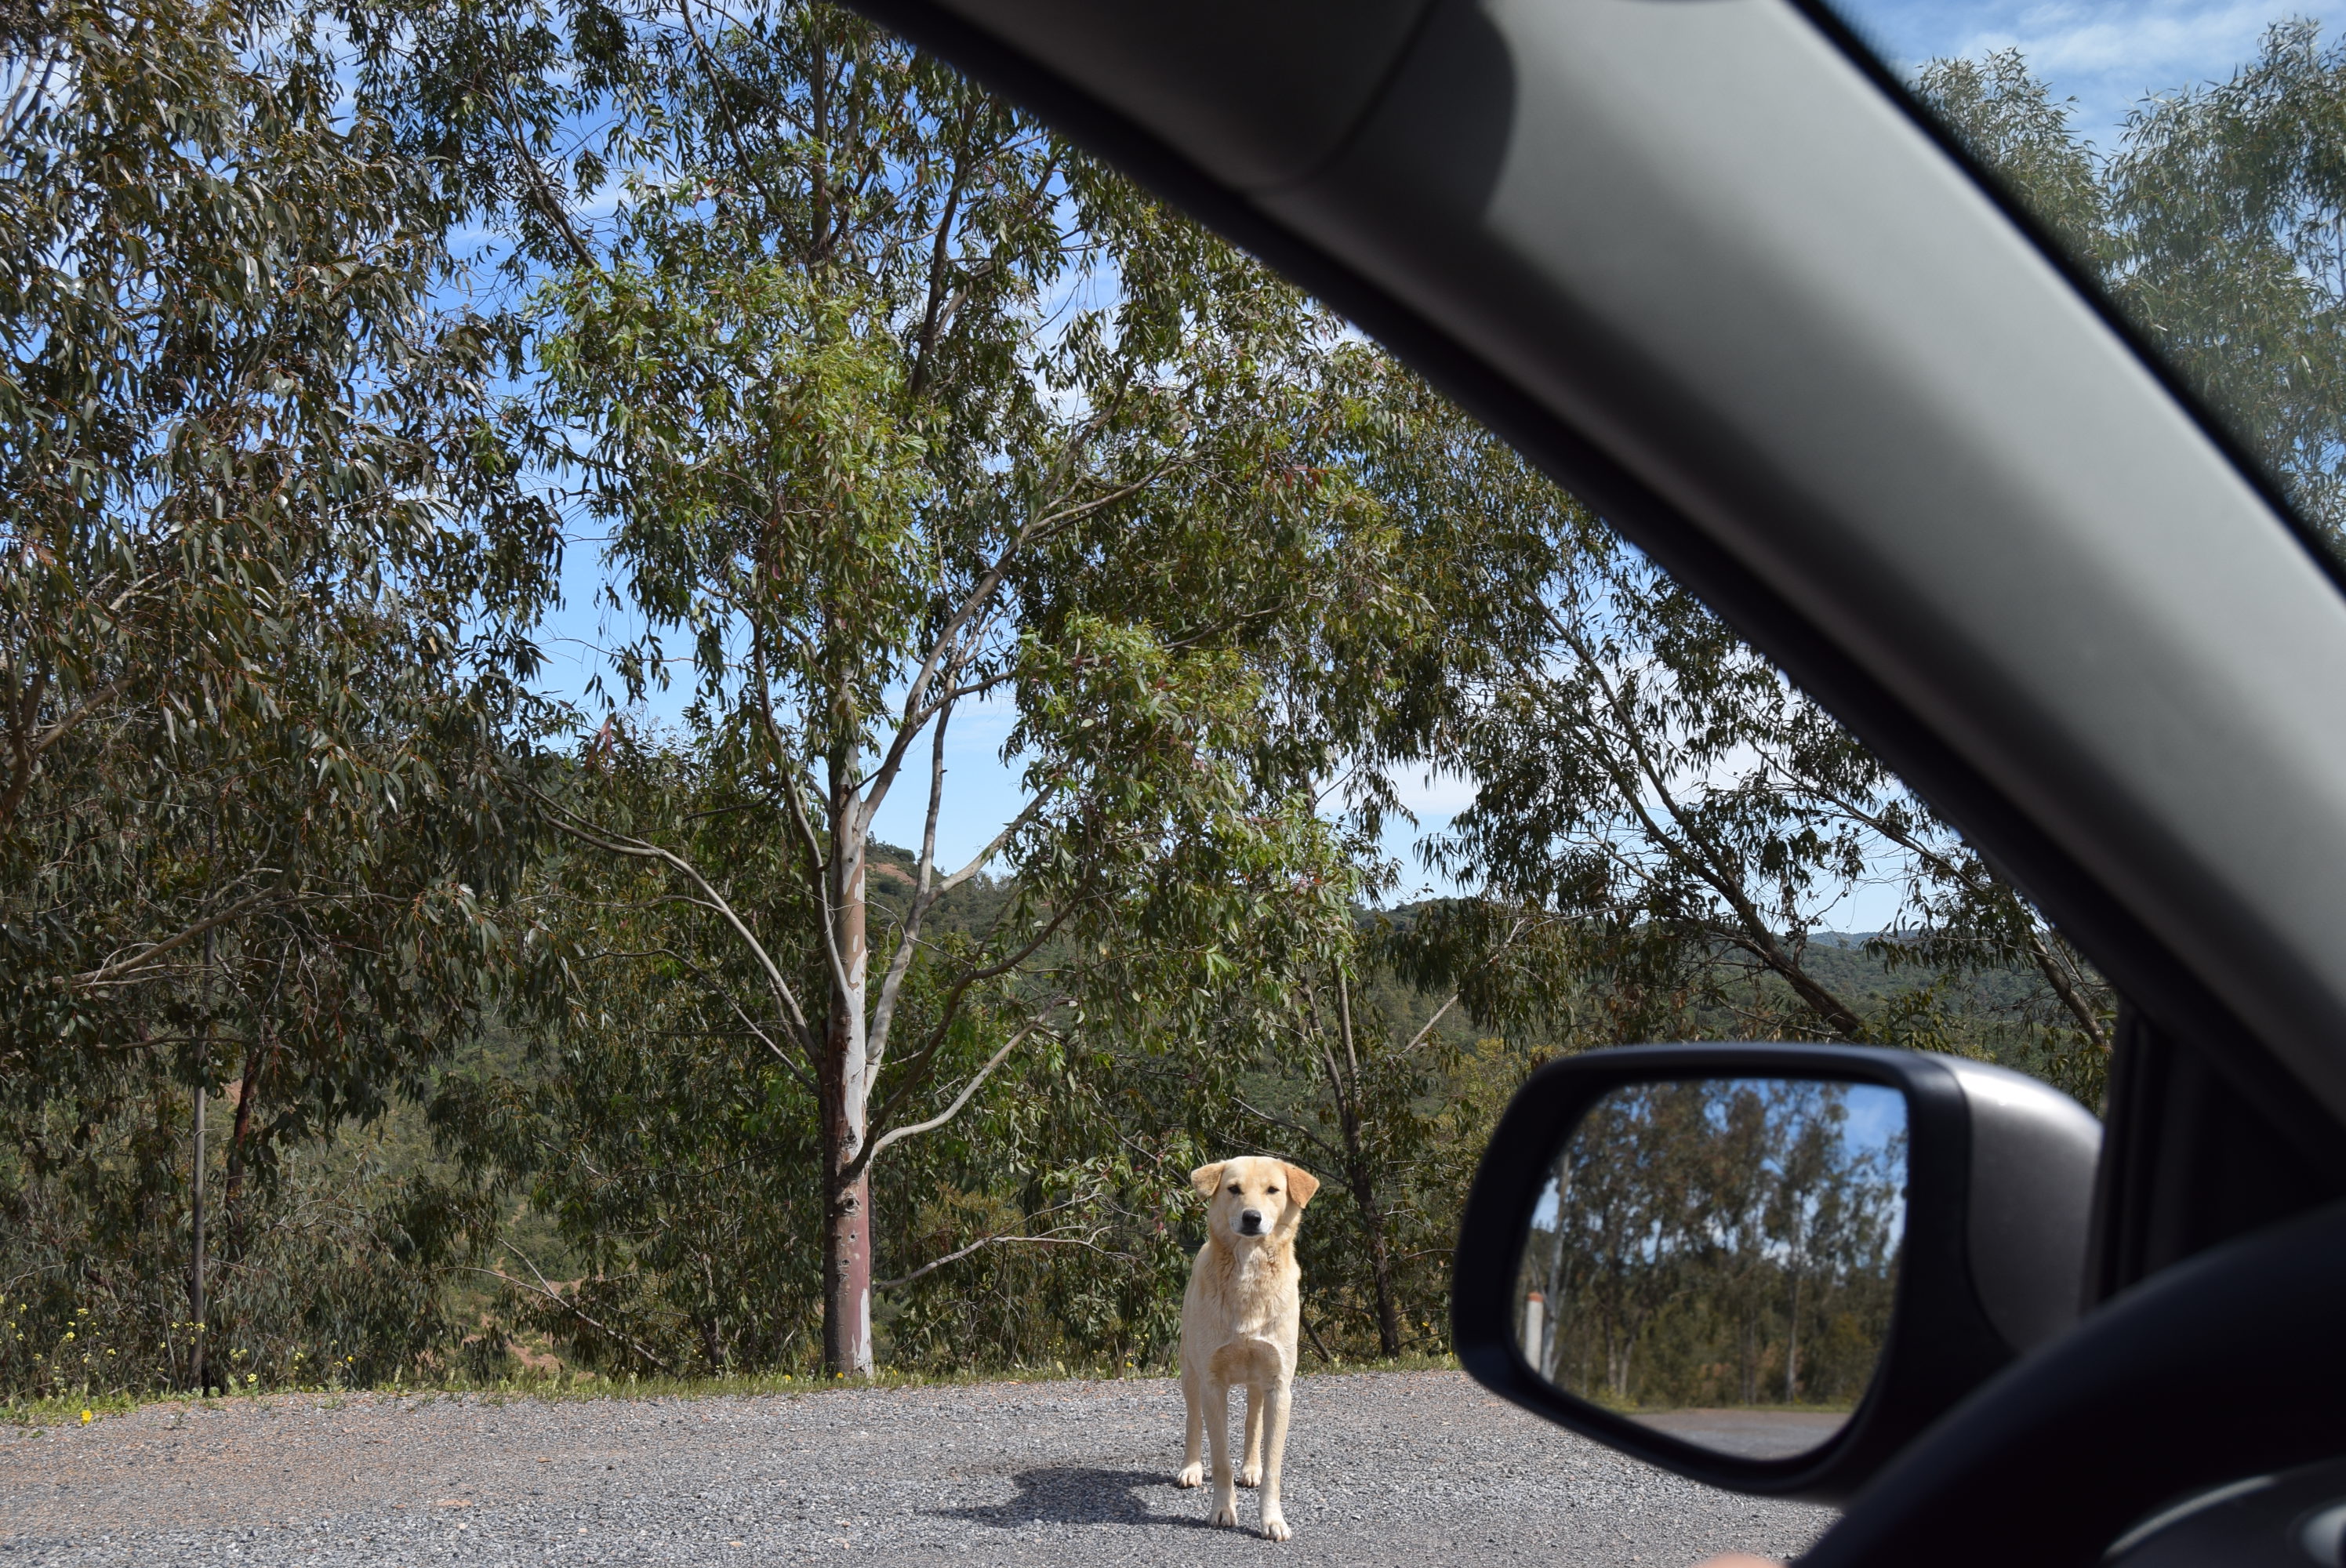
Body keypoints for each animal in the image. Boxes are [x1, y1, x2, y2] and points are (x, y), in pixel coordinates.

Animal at [1175, 1155, 1320, 1541]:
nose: (1252, 1217)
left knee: (1253, 1422)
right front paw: (1223, 1510)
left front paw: (1272, 1519)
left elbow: (1273, 1464)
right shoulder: (1212, 1384)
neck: (1249, 1274)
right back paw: (1191, 1468)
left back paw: (1250, 1468)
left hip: (1258, 1382)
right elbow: (1221, 1458)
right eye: (1233, 1189)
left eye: (1273, 1190)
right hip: (1189, 1371)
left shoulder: (1280, 1385)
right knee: (1193, 1419)